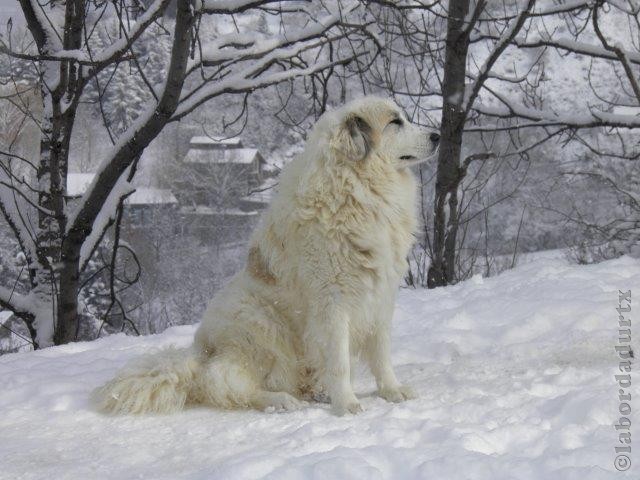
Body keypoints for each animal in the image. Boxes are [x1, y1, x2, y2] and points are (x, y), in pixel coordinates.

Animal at [94, 96, 440, 416]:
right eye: (395, 122)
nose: (437, 135)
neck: (360, 190)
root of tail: (199, 355)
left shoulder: (380, 295)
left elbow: (382, 354)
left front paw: (392, 391)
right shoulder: (332, 302)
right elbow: (340, 362)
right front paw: (347, 404)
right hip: (261, 324)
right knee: (224, 384)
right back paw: (281, 400)